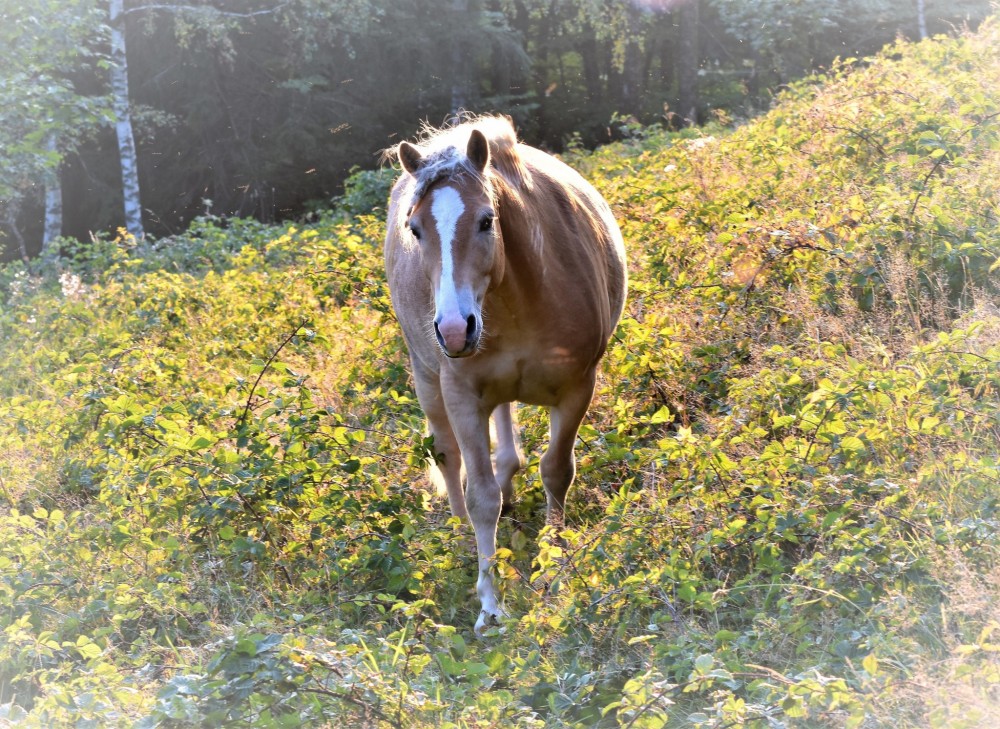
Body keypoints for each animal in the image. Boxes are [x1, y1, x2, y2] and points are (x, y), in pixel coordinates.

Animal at [382, 114, 624, 632]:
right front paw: (490, 605)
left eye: (485, 220)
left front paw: (555, 565)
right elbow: (480, 497)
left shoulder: (577, 387)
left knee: (507, 446)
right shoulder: (462, 398)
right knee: (448, 456)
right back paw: (457, 535)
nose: (455, 330)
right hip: (427, 378)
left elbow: (556, 471)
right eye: (415, 229)